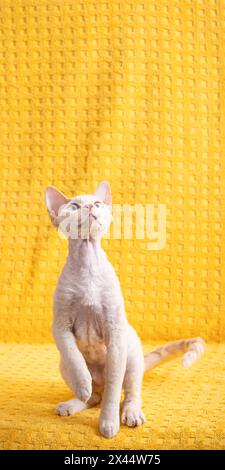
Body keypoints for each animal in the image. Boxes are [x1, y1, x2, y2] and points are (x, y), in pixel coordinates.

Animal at [44, 182, 205, 438]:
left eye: (97, 203)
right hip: (63, 366)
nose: (89, 206)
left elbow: (113, 391)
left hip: (131, 361)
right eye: (75, 206)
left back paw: (131, 413)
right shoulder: (60, 326)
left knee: (128, 393)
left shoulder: (115, 332)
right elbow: (74, 357)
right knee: (93, 396)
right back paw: (74, 401)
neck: (87, 264)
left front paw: (108, 424)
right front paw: (82, 383)